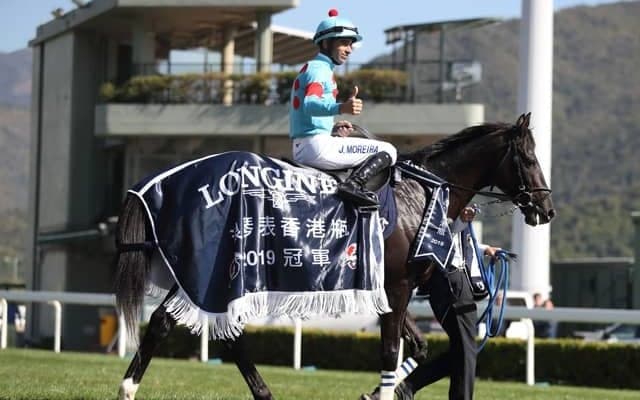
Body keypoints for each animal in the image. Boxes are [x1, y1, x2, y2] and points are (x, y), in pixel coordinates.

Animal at [114, 112, 554, 400]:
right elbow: (391, 351)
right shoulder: (398, 286)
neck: (421, 192)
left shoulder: (401, 286)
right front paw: (384, 391)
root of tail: (169, 179)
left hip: (206, 271)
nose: (546, 210)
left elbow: (419, 348)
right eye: (530, 159)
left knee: (173, 323)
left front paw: (386, 391)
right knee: (203, 328)